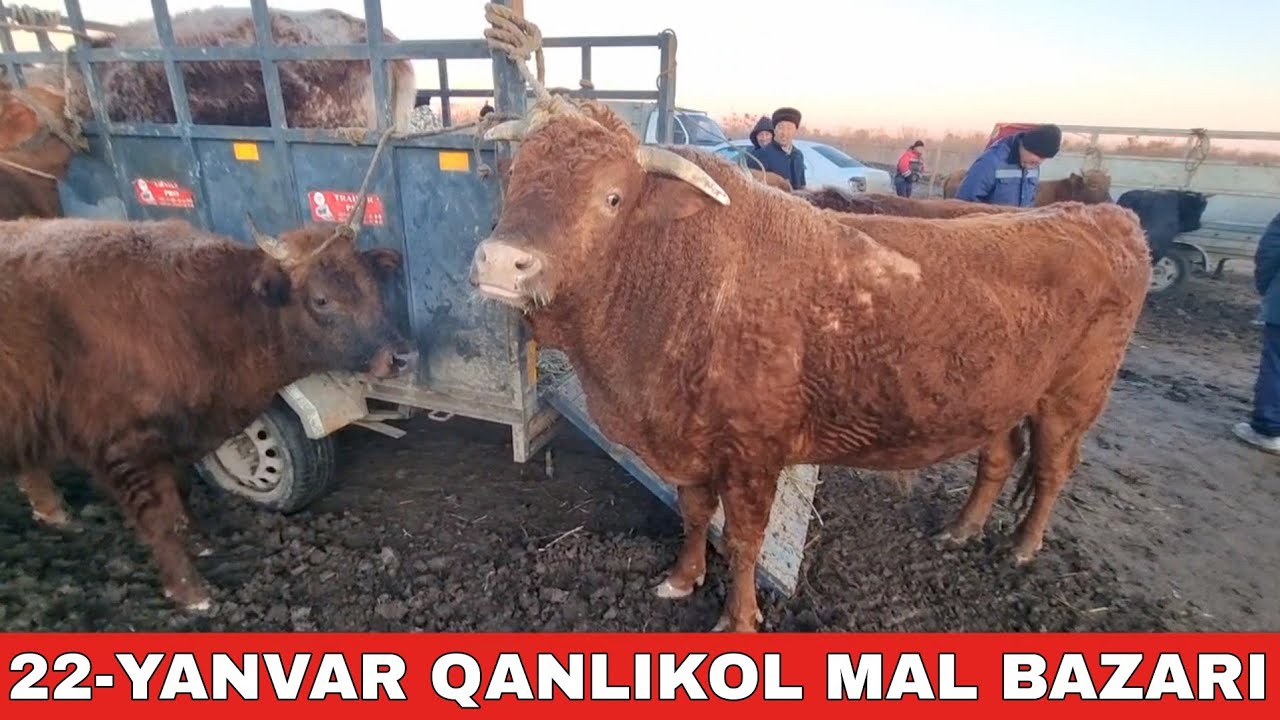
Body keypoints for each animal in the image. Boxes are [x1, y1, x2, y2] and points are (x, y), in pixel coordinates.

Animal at [0, 203, 416, 610]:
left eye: (372, 284)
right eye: (322, 299)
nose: (401, 356)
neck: (201, 314)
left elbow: (179, 494)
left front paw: (200, 541)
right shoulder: (122, 449)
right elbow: (158, 517)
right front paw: (190, 592)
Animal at [470, 99, 1151, 632]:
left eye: (611, 197)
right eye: (515, 176)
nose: (502, 262)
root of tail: (1104, 216)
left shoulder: (754, 452)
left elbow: (743, 539)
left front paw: (739, 619)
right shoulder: (688, 440)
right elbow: (694, 513)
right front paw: (683, 579)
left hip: (1071, 398)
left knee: (1054, 469)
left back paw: (1023, 547)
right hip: (1002, 396)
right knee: (999, 457)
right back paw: (961, 530)